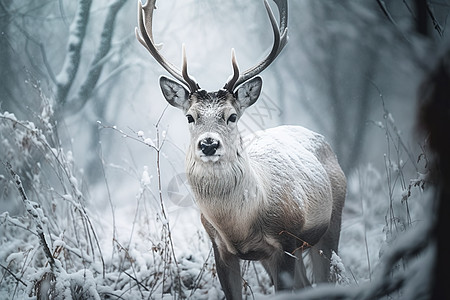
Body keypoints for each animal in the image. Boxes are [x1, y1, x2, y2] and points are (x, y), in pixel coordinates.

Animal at [135, 0, 346, 298]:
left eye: (232, 116)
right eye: (190, 117)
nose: (208, 143)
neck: (239, 227)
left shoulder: (285, 240)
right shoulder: (221, 248)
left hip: (330, 224)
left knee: (325, 279)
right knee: (306, 285)